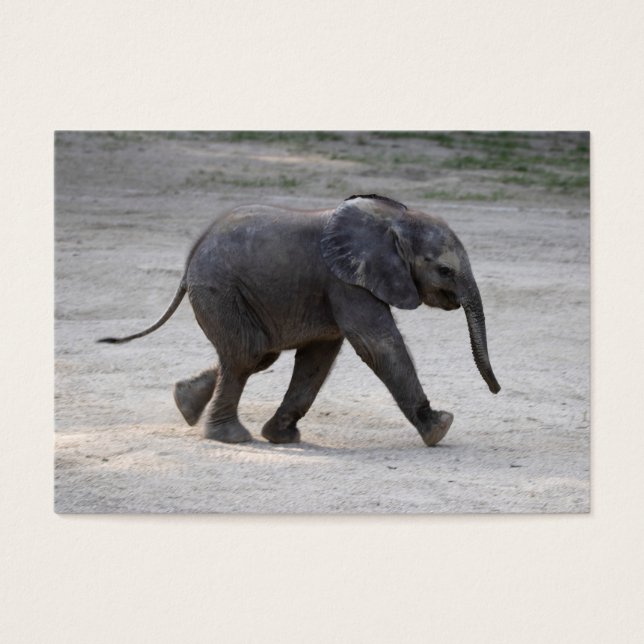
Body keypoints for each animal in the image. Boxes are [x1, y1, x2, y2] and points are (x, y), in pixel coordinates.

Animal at [99, 194, 500, 447]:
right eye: (445, 270)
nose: (497, 390)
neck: (393, 221)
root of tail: (189, 260)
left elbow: (319, 357)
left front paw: (282, 437)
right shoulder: (345, 281)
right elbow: (377, 344)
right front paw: (440, 429)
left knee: (257, 355)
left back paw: (185, 403)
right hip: (219, 289)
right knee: (248, 354)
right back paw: (231, 438)